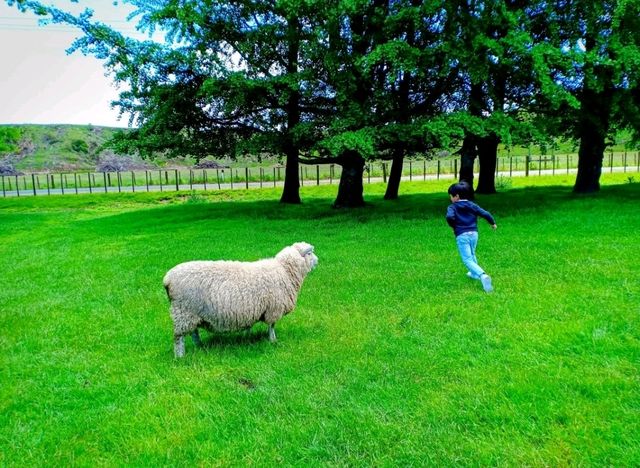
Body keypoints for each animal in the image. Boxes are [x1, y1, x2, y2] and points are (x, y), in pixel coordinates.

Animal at [162, 243, 318, 356]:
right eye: (309, 253)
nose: (318, 260)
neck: (284, 271)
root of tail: (167, 279)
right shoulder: (273, 309)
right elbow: (271, 326)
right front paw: (273, 341)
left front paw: (248, 337)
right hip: (183, 311)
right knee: (178, 338)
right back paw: (180, 356)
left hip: (192, 313)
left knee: (193, 332)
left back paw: (200, 346)